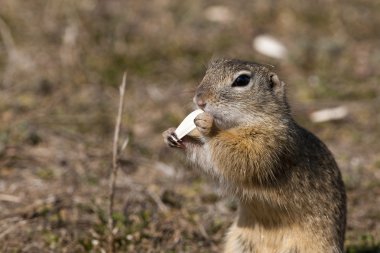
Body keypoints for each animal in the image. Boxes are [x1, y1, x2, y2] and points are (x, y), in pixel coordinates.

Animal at [162, 58, 346, 252]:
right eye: (210, 69)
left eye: (242, 80)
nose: (199, 100)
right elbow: (210, 159)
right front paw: (171, 135)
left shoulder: (270, 145)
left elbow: (243, 157)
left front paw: (209, 127)